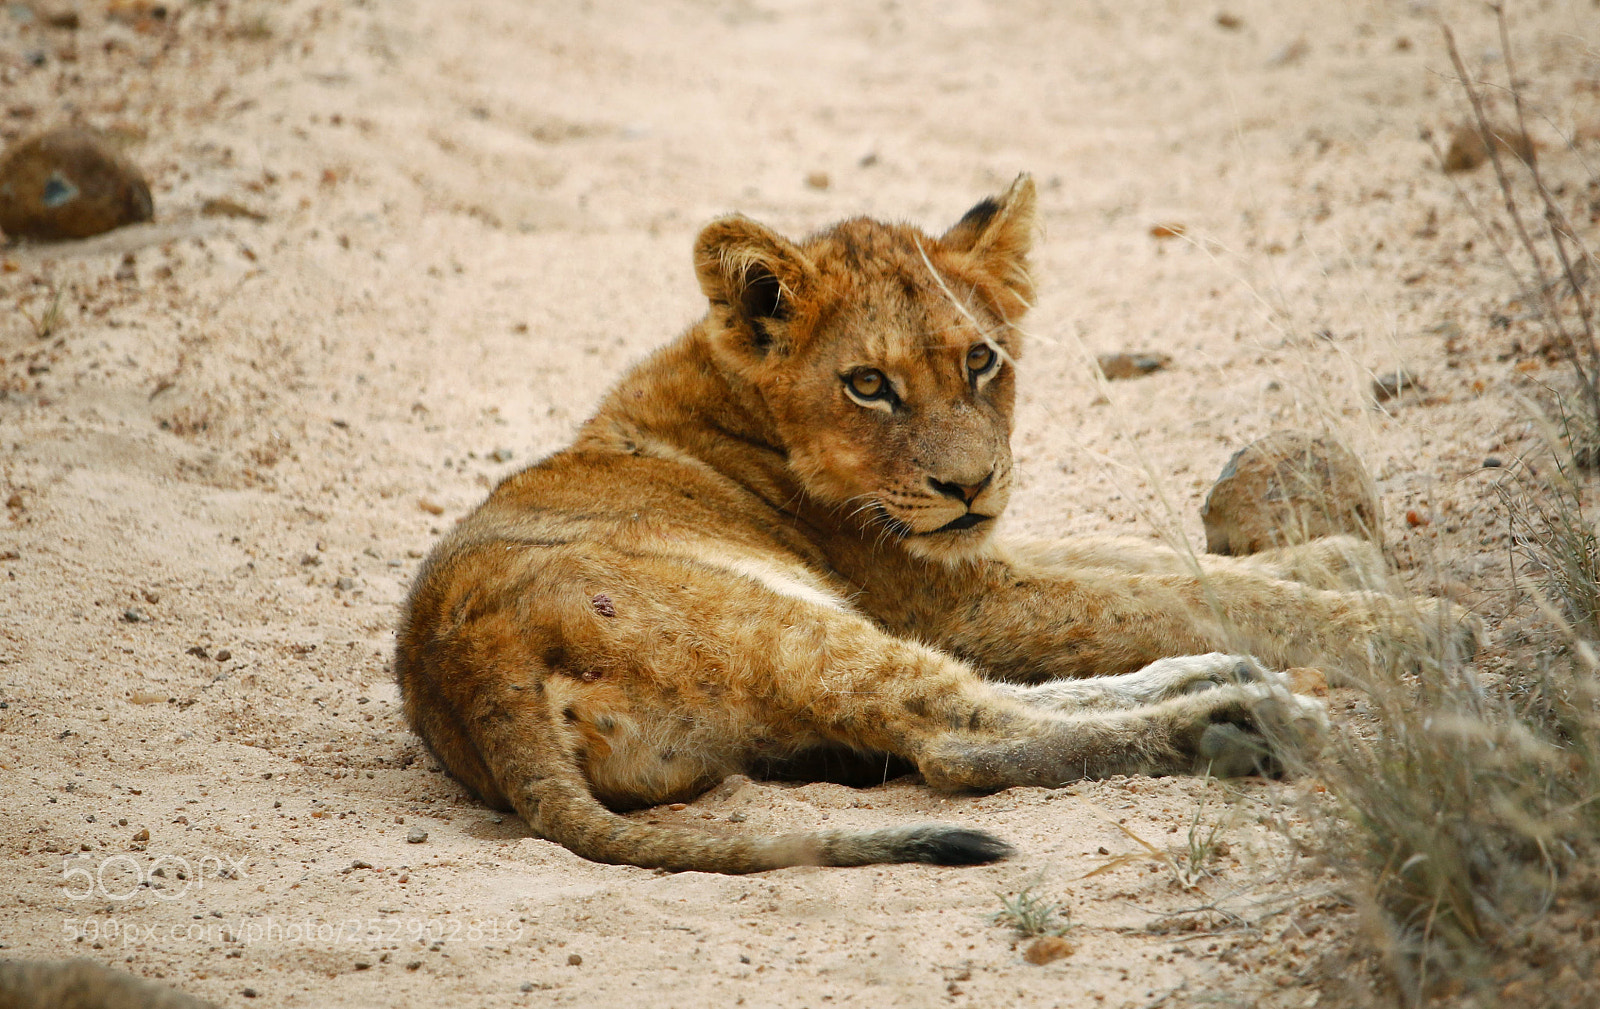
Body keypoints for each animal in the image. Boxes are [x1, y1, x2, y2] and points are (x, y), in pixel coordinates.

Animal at [395, 176, 1476, 874]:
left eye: (981, 359)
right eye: (868, 384)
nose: (966, 485)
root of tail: (472, 681)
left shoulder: (967, 558)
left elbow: (1140, 559)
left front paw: (1341, 559)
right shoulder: (949, 594)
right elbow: (1153, 590)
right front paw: (1406, 623)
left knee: (989, 703)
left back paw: (1220, 678)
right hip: (786, 621)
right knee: (962, 735)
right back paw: (1243, 717)